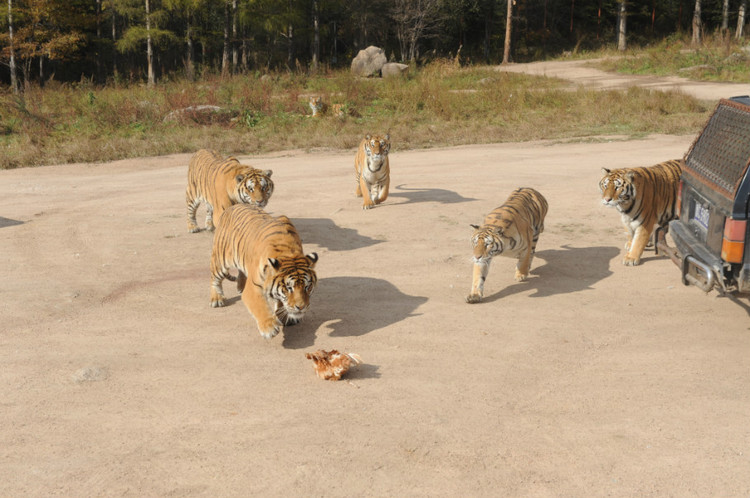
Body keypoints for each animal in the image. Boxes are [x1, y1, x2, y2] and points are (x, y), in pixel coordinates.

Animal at [210, 204, 318, 340]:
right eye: (289, 288)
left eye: (307, 287)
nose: (301, 307)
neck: (289, 253)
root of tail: (232, 206)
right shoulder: (253, 288)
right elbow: (259, 305)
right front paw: (269, 328)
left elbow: (280, 301)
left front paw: (286, 316)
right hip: (221, 261)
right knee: (214, 278)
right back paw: (216, 299)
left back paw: (240, 286)